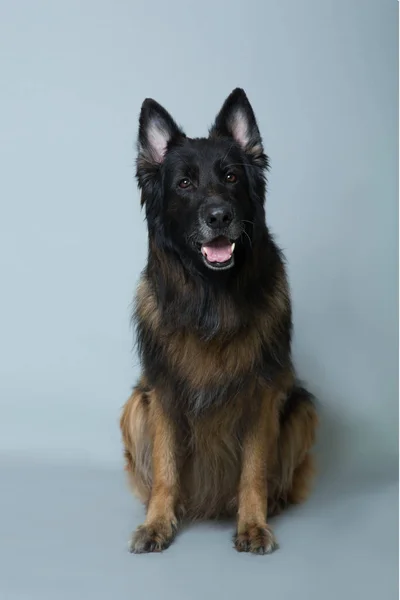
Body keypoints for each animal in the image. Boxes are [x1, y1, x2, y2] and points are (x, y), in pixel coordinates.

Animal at [120, 89, 320, 552]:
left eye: (230, 177)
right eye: (184, 183)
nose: (218, 217)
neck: (210, 299)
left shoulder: (261, 395)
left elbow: (253, 471)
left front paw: (253, 525)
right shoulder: (163, 393)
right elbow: (166, 469)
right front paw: (158, 523)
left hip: (301, 408)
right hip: (135, 404)